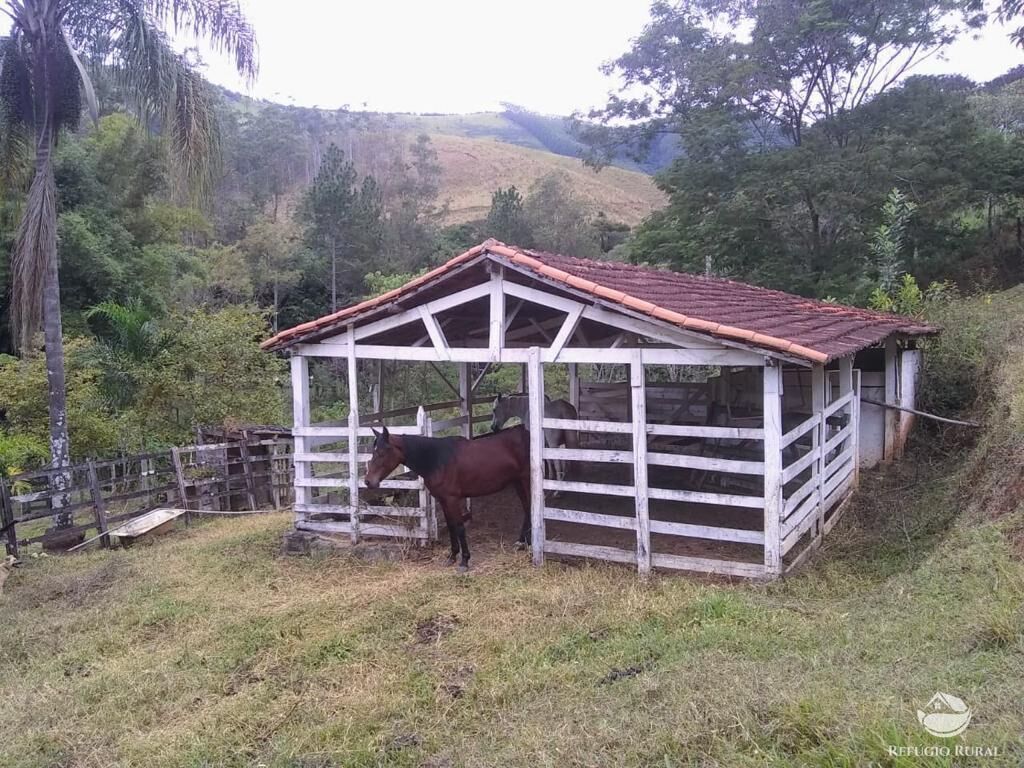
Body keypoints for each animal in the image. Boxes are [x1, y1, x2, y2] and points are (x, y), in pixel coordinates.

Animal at [366, 428, 528, 573]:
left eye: (382, 452)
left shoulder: (452, 500)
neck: (437, 460)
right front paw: (452, 557)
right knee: (527, 509)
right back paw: (521, 543)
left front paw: (464, 561)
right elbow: (451, 526)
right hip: (518, 482)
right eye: (373, 452)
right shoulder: (443, 500)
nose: (368, 481)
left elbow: (459, 527)